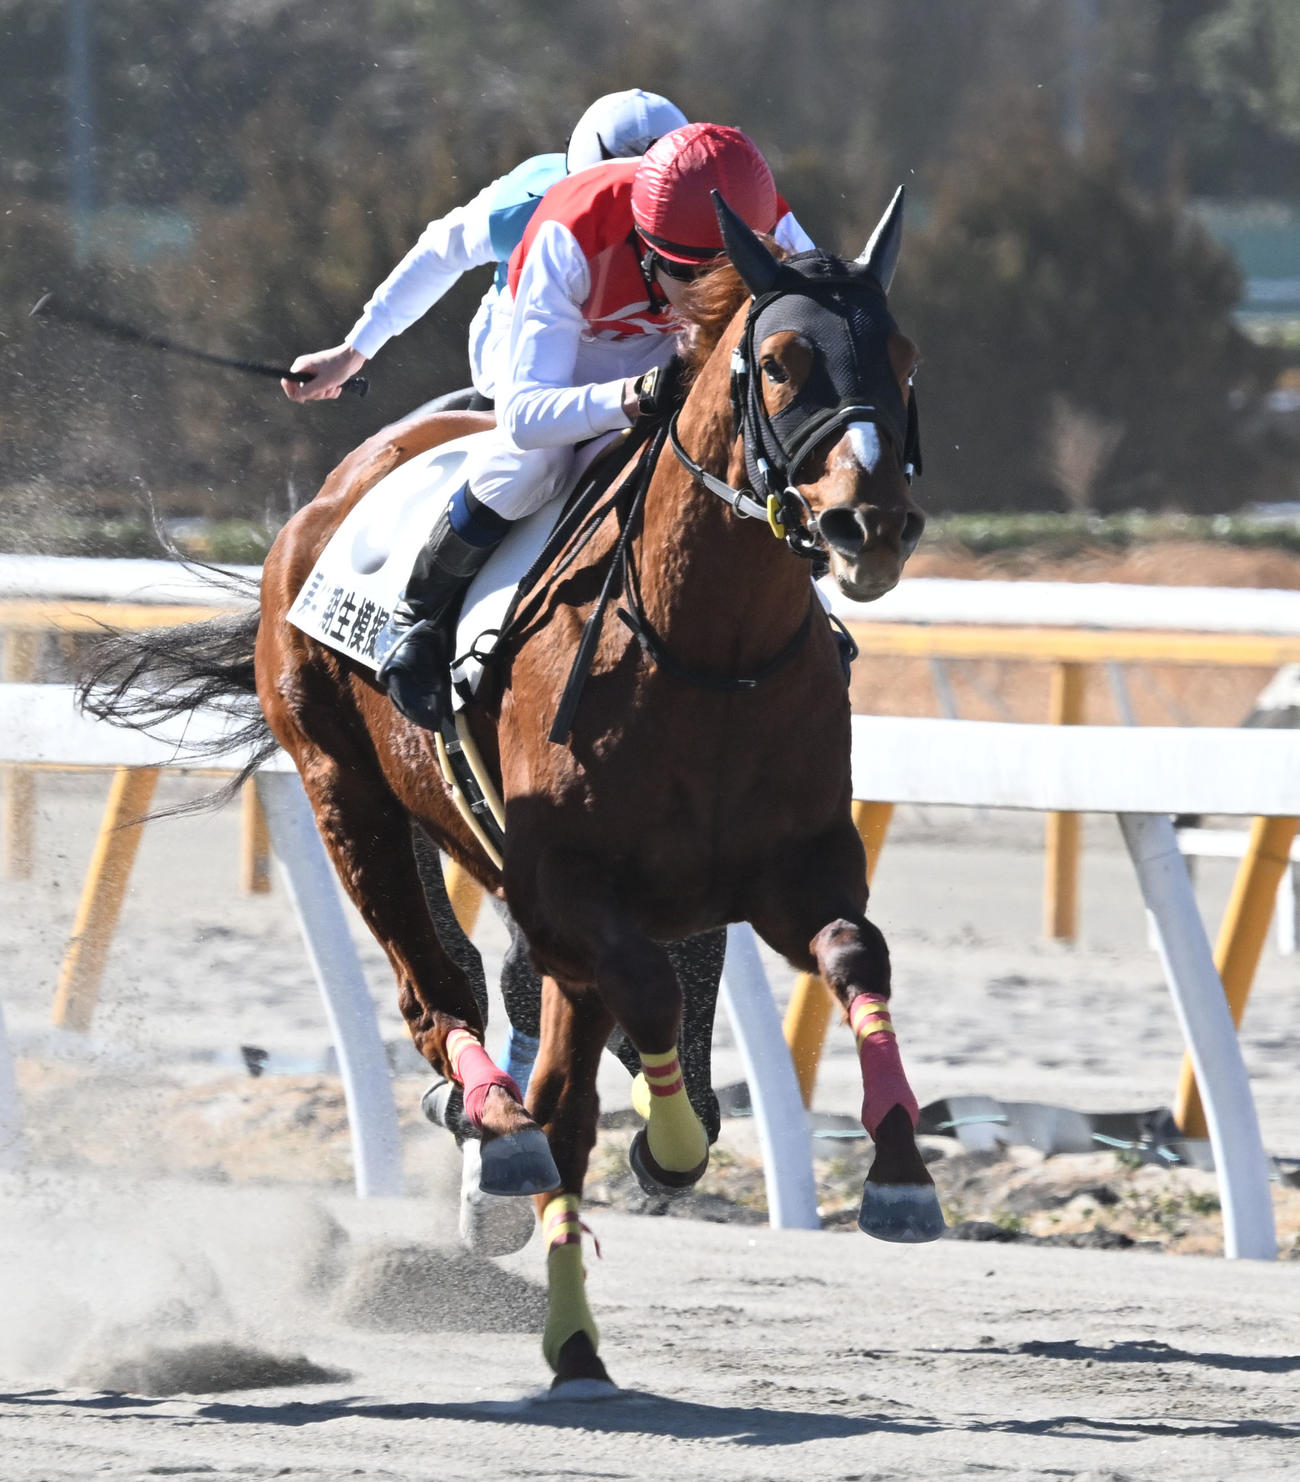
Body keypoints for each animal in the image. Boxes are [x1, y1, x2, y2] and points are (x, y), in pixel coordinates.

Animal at [89, 189, 934, 1391]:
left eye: (901, 358)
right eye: (778, 363)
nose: (874, 524)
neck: (706, 653)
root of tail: (332, 494)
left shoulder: (795, 868)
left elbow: (855, 956)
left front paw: (901, 1177)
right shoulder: (566, 888)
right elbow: (637, 1005)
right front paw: (663, 1138)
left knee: (551, 1074)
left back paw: (571, 1332)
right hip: (348, 795)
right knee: (439, 1002)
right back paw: (493, 1121)